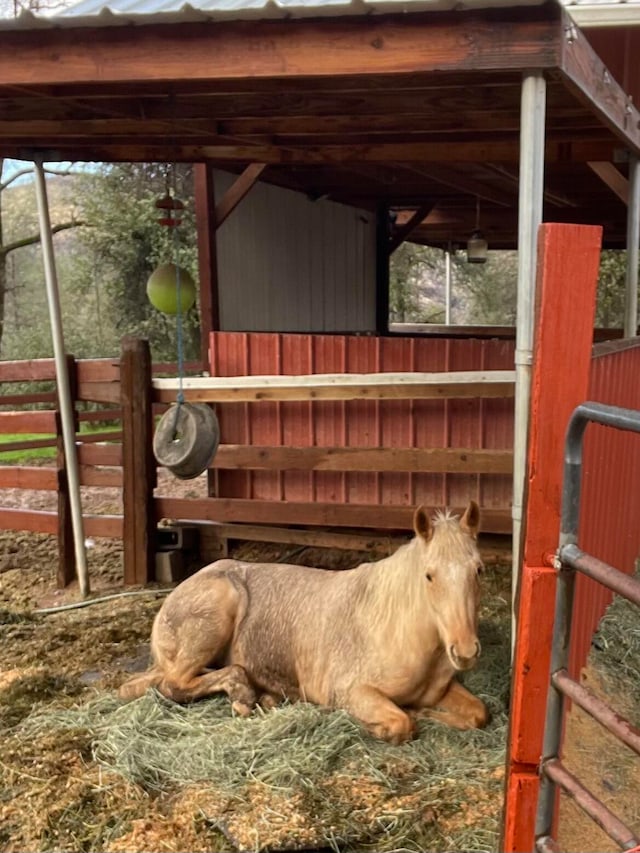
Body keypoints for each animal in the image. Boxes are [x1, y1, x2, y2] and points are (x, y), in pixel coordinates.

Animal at [120, 502, 488, 744]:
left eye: (478, 569)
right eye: (429, 575)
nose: (465, 651)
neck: (393, 629)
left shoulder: (441, 690)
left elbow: (478, 713)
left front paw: (428, 714)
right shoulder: (351, 690)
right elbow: (401, 723)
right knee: (174, 683)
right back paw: (244, 695)